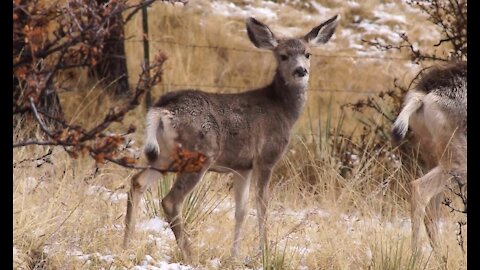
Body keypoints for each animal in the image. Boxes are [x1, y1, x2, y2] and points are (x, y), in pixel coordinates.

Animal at [123, 14, 342, 260]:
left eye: (307, 53)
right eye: (283, 55)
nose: (300, 71)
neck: (282, 110)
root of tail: (161, 110)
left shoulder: (242, 167)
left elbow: (241, 211)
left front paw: (234, 255)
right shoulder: (266, 158)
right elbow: (262, 206)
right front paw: (265, 251)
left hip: (164, 155)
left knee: (137, 182)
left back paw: (126, 245)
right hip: (200, 153)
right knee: (170, 201)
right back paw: (190, 254)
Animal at [392, 61, 466, 258]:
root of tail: (422, 95)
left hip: (438, 161)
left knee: (432, 208)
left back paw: (441, 257)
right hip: (457, 164)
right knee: (419, 189)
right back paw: (416, 256)